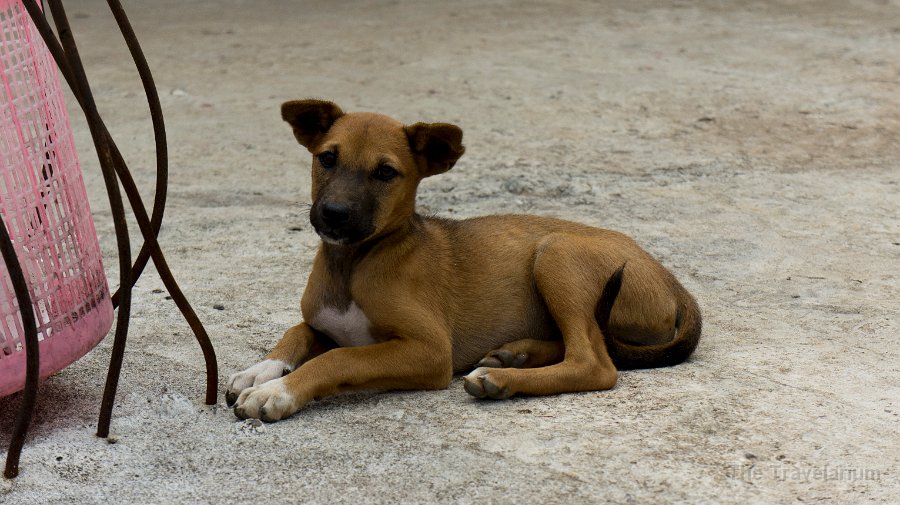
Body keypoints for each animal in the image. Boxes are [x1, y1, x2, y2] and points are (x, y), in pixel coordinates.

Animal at [227, 99, 704, 422]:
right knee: (587, 344)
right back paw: (514, 355)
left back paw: (503, 379)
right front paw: (260, 371)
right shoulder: (321, 322)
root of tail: (675, 284)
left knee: (595, 363)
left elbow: (339, 358)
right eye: (327, 158)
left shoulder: (429, 350)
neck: (354, 264)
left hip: (557, 253)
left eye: (385, 172)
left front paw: (278, 391)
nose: (334, 215)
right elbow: (296, 332)